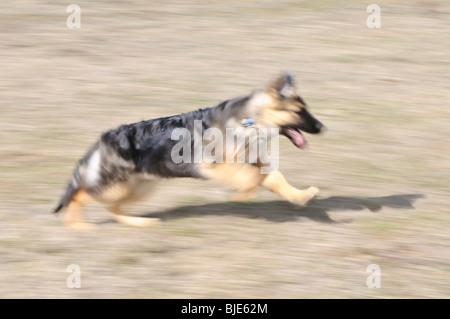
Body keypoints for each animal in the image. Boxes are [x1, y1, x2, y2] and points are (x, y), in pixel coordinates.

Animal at [54, 72, 324, 230]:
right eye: (299, 111)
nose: (322, 127)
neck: (250, 120)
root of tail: (101, 141)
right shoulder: (216, 165)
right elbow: (250, 177)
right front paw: (243, 195)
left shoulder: (255, 162)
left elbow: (275, 178)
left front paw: (301, 196)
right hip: (116, 185)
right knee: (81, 194)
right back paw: (76, 224)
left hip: (138, 186)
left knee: (111, 206)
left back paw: (138, 222)